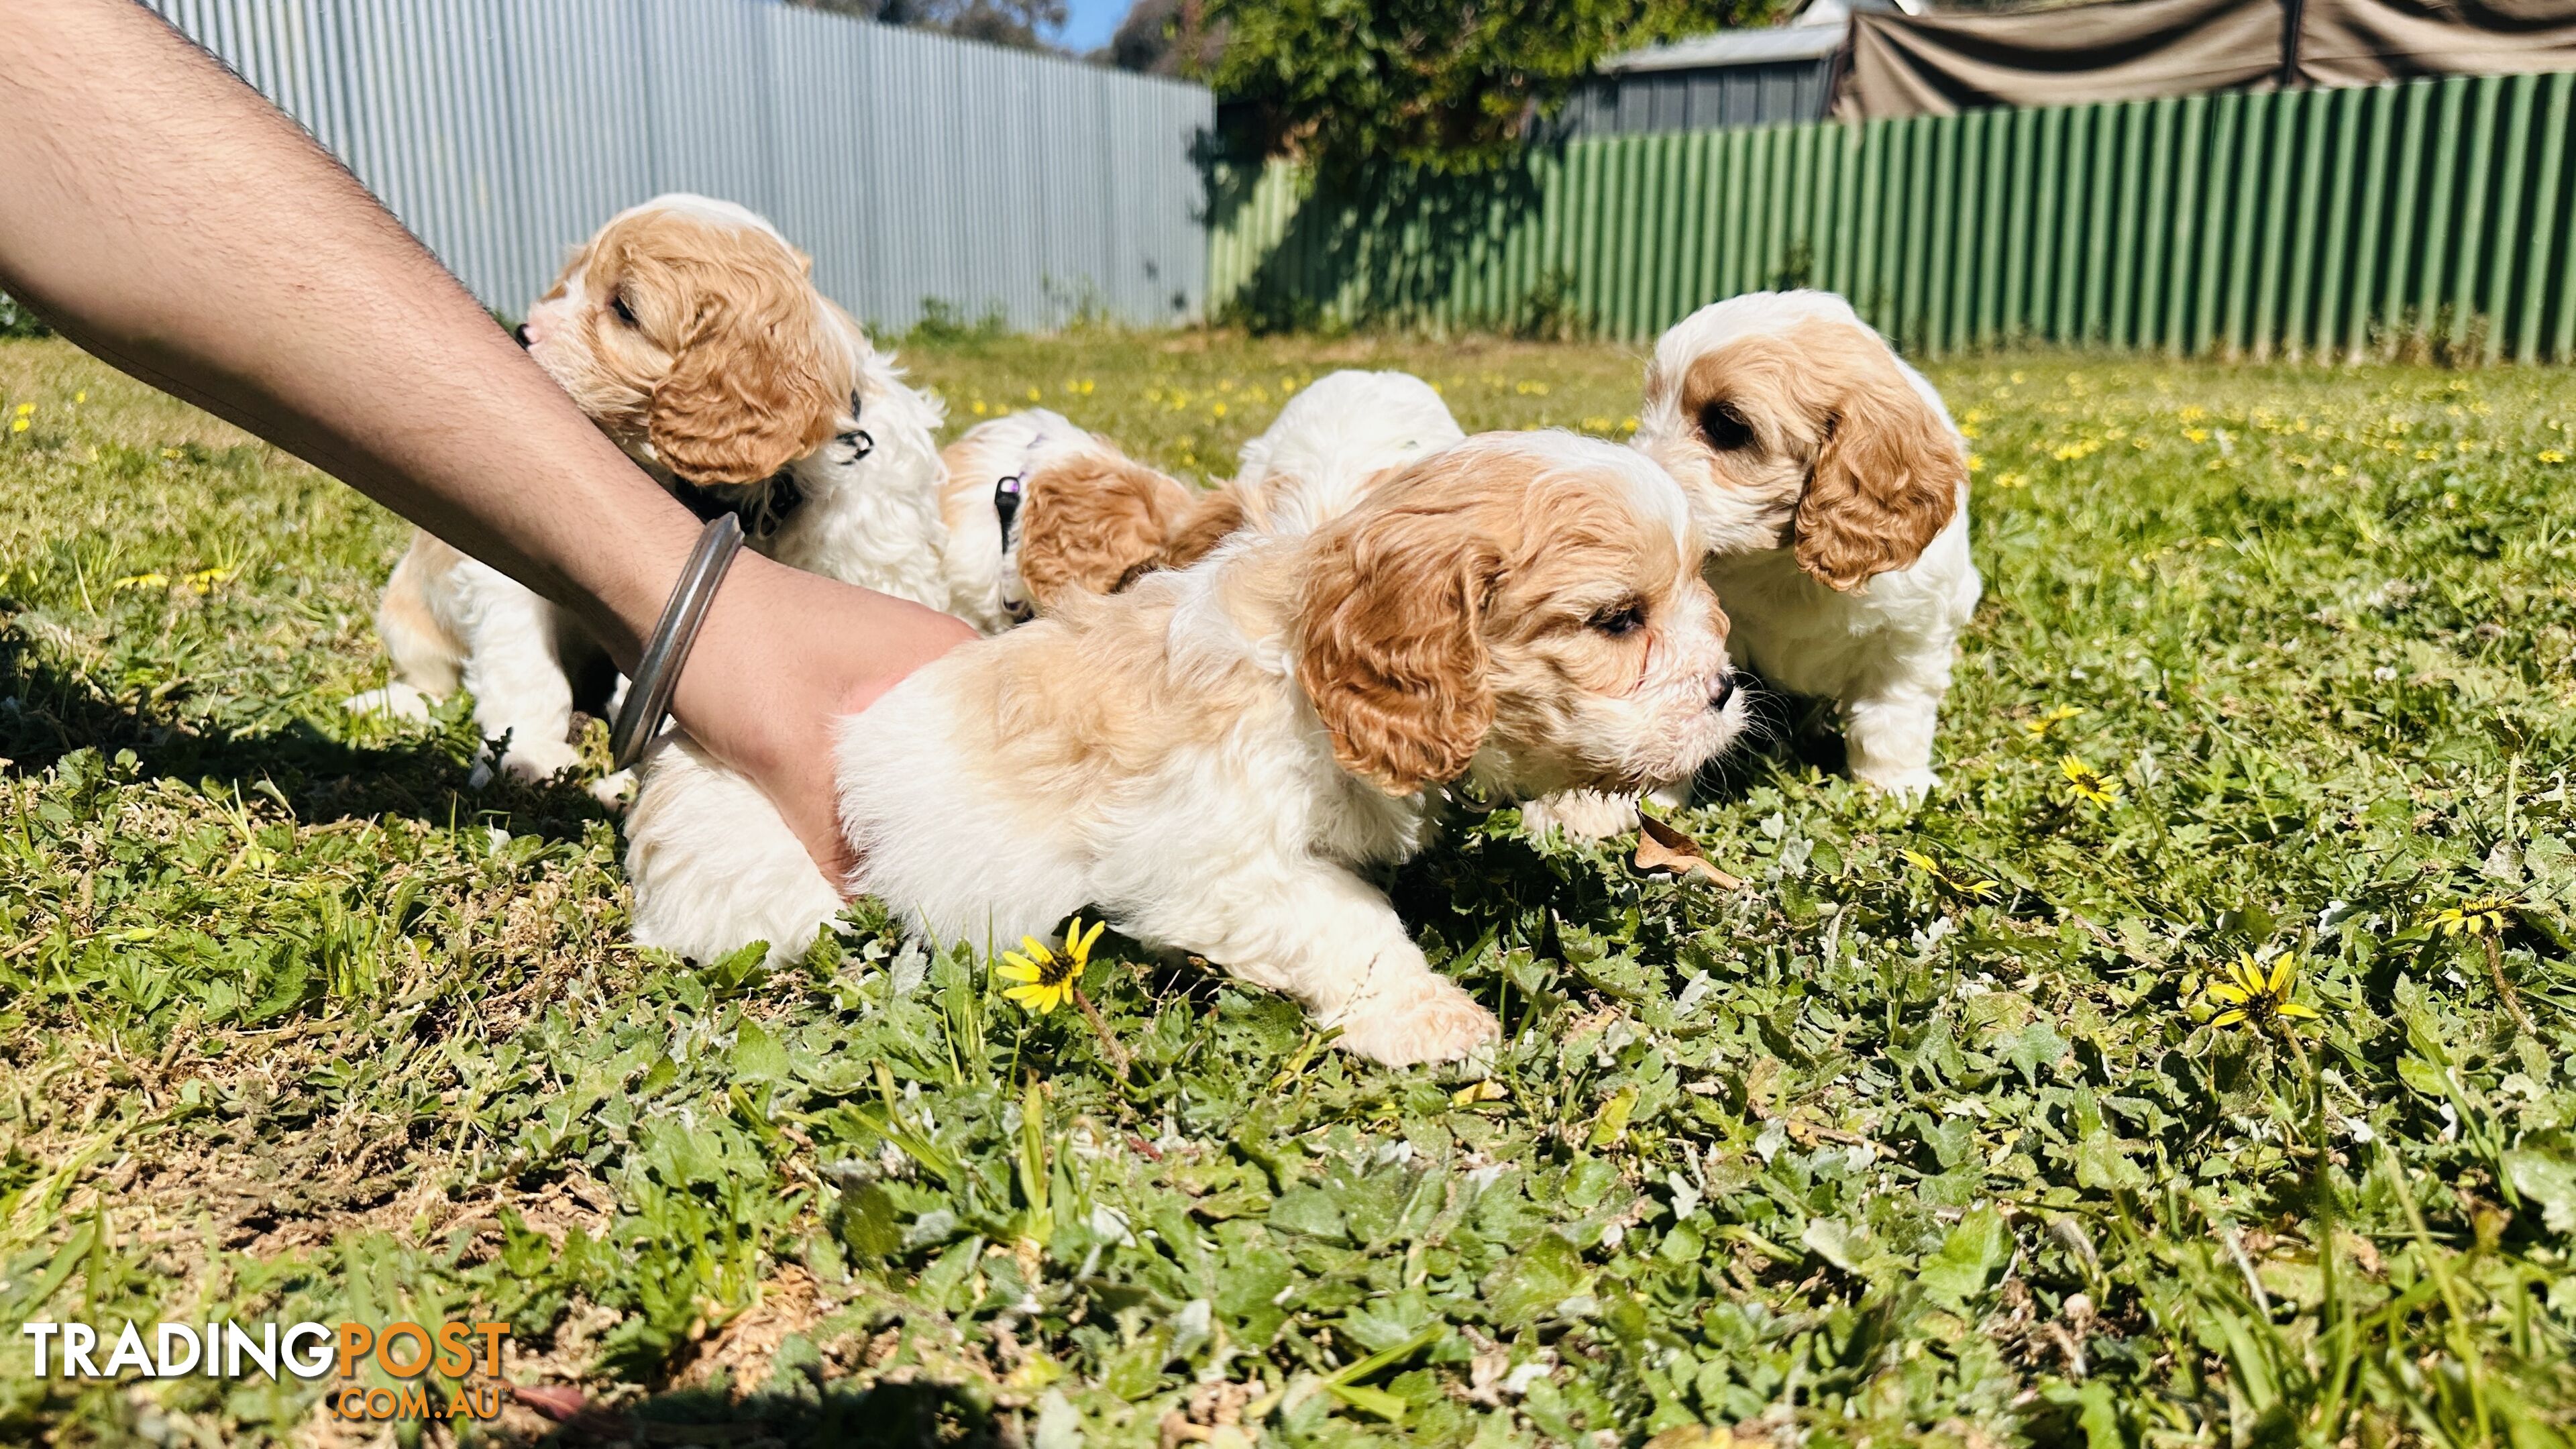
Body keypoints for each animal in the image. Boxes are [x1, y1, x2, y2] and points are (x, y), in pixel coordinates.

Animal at [347, 192, 943, 789]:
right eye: (572, 280)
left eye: (625, 310)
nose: (521, 333)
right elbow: (525, 661)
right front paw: (527, 753)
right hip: (410, 614)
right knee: (428, 677)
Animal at [623, 428, 1752, 1062]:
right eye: (1618, 621)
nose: (1728, 689)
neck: (1304, 658)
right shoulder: (1203, 856)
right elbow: (1348, 921)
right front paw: (1433, 1019)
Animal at [1525, 290, 1968, 835]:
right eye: (1650, 406)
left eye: (1727, 426)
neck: (1784, 566)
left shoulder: (1911, 633)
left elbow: (1893, 717)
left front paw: (1895, 787)